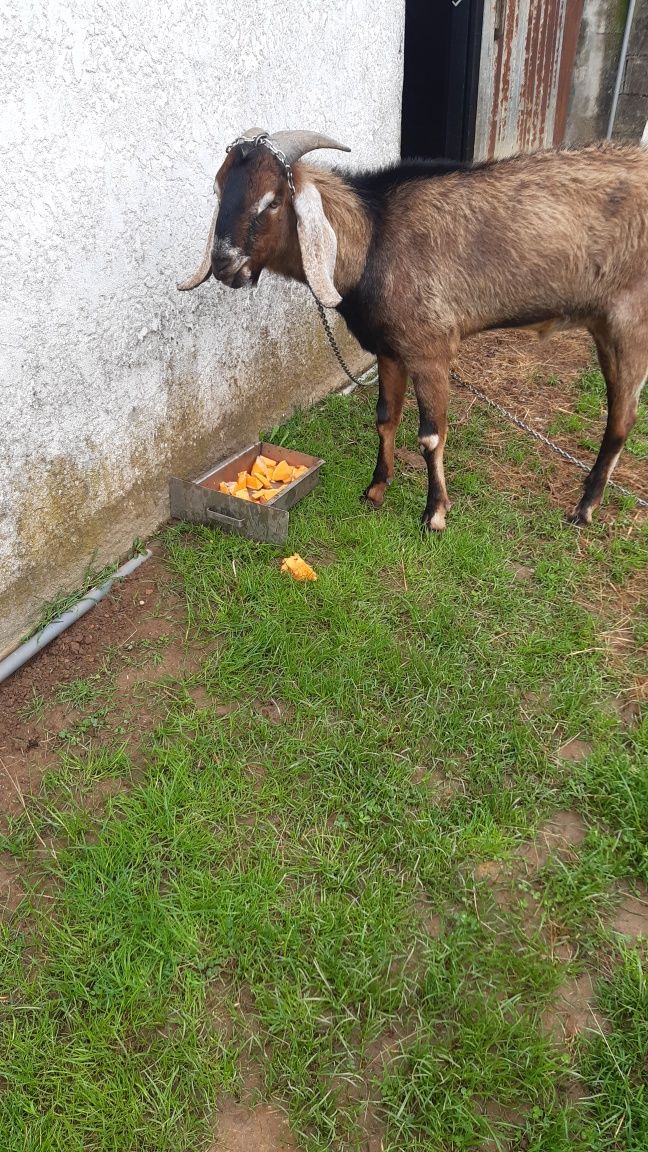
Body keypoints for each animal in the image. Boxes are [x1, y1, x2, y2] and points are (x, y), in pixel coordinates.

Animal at [176, 129, 645, 529]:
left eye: (272, 201)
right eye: (219, 190)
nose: (224, 265)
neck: (373, 238)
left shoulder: (430, 349)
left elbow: (431, 437)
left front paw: (434, 514)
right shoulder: (389, 349)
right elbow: (386, 418)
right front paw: (374, 490)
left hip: (628, 322)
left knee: (621, 419)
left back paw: (584, 509)